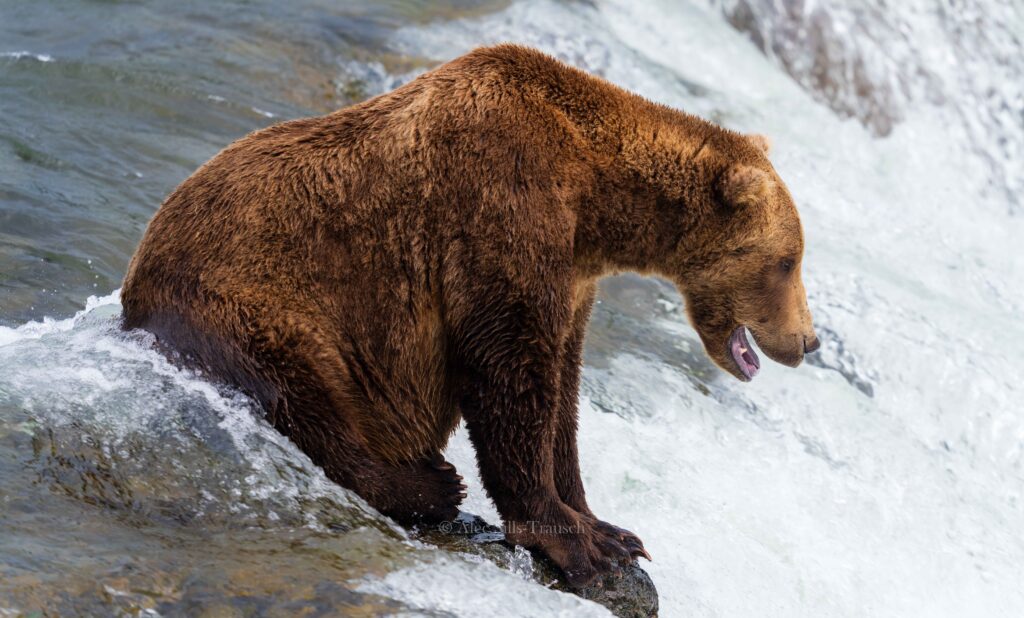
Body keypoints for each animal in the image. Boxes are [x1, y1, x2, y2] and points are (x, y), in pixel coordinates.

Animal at [121, 44, 815, 589]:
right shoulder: (501, 205)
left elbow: (561, 391)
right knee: (308, 398)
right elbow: (510, 373)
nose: (808, 341)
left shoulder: (572, 276)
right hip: (262, 305)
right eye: (788, 261)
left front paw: (611, 528)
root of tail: (138, 267)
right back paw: (426, 481)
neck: (594, 202)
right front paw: (578, 542)